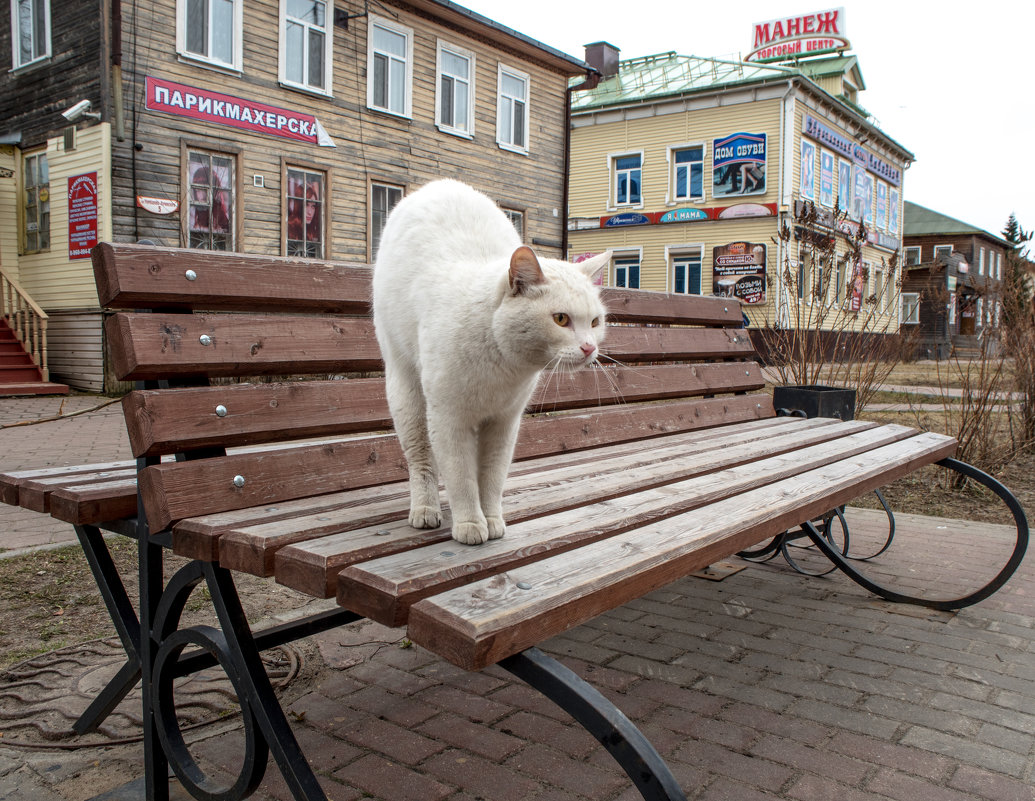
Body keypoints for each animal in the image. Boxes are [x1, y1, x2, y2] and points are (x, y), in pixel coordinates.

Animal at [374, 181, 608, 546]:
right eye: (560, 319)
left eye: (595, 322)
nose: (588, 348)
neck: (503, 366)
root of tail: (437, 184)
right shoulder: (448, 420)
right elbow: (461, 478)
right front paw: (471, 523)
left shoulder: (504, 423)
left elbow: (492, 478)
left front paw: (493, 519)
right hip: (407, 393)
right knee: (421, 459)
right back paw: (425, 509)